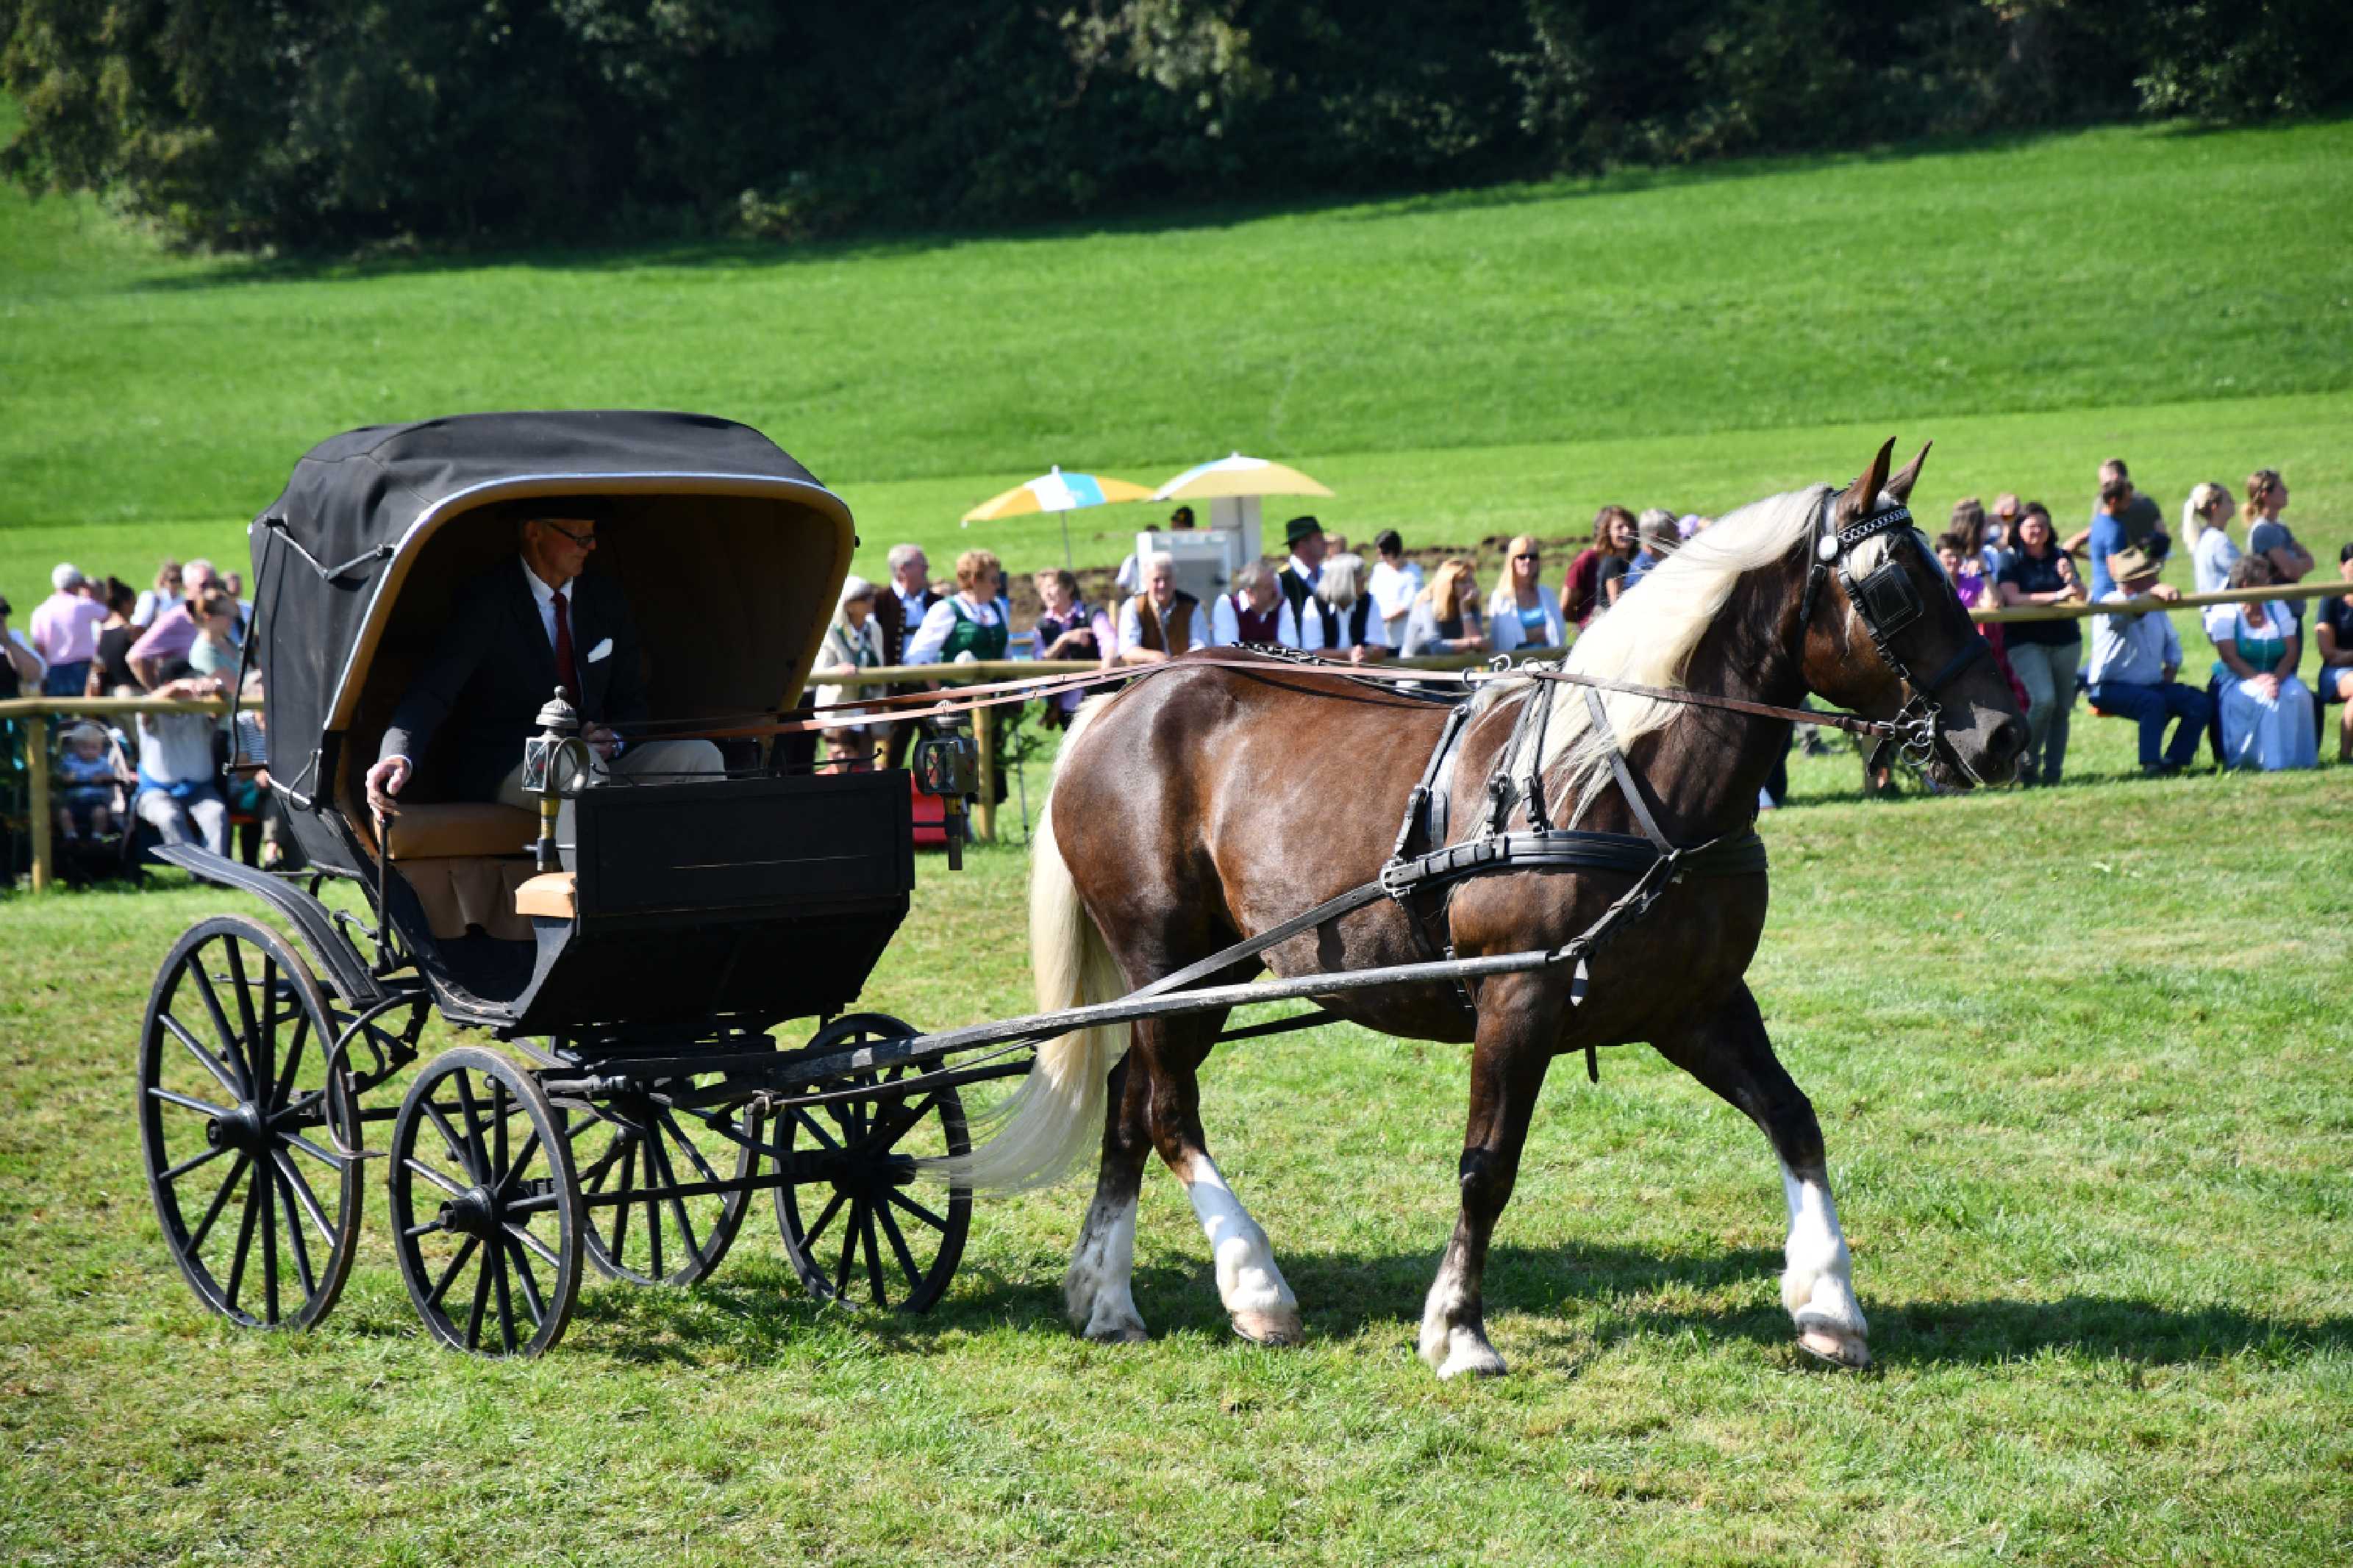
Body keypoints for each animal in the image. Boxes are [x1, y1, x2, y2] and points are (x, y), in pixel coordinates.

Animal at [950, 441, 2025, 1377]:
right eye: (1896, 586)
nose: (2005, 733)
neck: (1629, 782)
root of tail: (1119, 702)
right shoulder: (1518, 1000)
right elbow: (1487, 1164)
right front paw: (1458, 1329)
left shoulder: (1698, 1004)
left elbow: (1796, 1121)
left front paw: (1829, 1304)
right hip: (1162, 951)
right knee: (1170, 1110)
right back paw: (1254, 1288)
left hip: (1211, 972)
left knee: (1131, 1103)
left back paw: (1106, 1296)